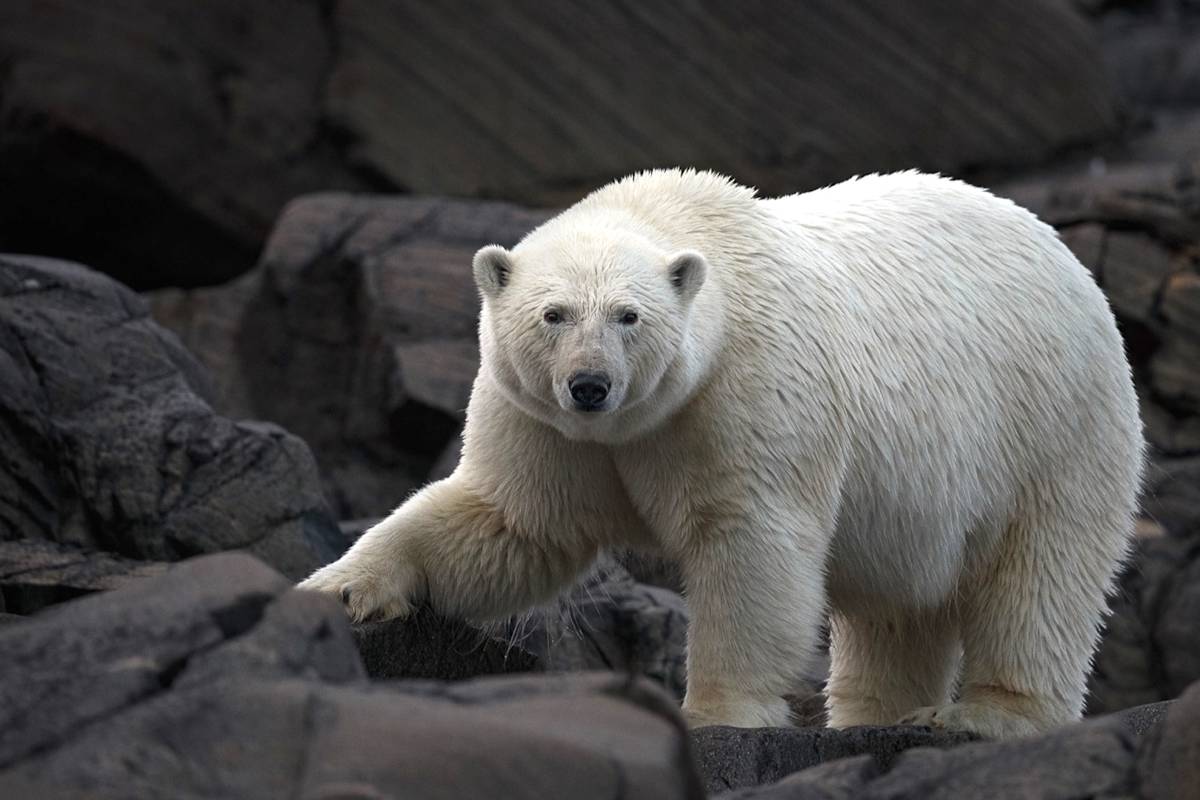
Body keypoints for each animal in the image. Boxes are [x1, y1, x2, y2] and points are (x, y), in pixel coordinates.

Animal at [299, 168, 1144, 738]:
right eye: (554, 313)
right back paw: (872, 714)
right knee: (897, 606)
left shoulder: (744, 389)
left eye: (629, 315)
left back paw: (982, 715)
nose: (590, 385)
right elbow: (510, 522)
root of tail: (1066, 258)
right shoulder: (543, 421)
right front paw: (341, 588)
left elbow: (751, 543)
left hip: (1053, 423)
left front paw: (717, 713)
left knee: (1040, 573)